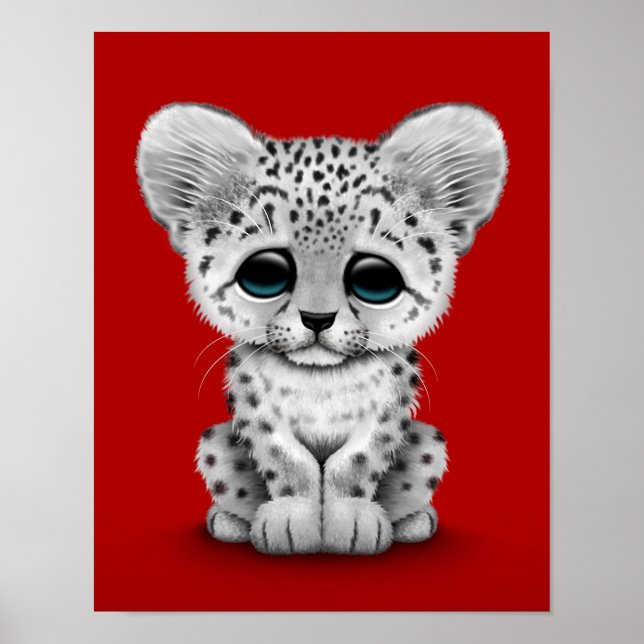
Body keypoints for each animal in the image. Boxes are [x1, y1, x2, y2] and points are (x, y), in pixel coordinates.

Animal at [136, 101, 507, 554]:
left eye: (375, 279)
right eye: (263, 273)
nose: (317, 319)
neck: (320, 380)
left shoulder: (387, 413)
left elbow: (356, 464)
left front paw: (351, 521)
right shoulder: (257, 412)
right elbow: (287, 461)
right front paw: (291, 519)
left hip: (429, 442)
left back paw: (414, 522)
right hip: (214, 443)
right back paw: (229, 522)